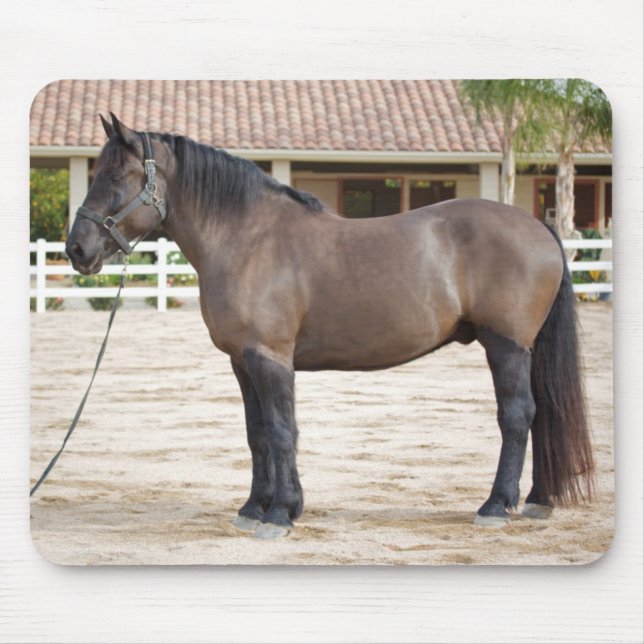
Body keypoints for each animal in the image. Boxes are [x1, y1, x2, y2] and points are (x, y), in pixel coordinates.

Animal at [65, 113, 594, 539]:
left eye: (117, 174)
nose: (77, 249)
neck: (246, 239)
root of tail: (538, 226)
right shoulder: (242, 363)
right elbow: (257, 433)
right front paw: (254, 508)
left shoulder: (271, 359)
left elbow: (282, 430)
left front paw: (281, 514)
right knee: (542, 412)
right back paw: (536, 501)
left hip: (505, 345)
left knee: (517, 416)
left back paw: (495, 506)